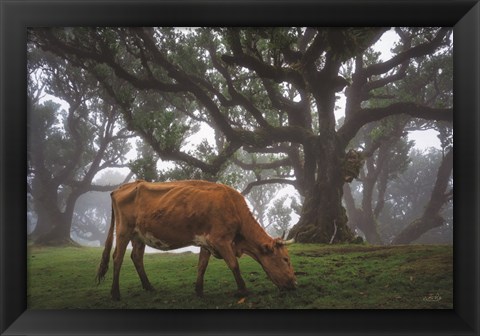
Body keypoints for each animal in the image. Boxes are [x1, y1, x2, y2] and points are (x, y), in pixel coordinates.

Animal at [95, 180, 294, 300]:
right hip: (123, 231)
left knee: (136, 257)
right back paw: (115, 293)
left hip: (139, 235)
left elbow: (202, 265)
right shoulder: (221, 240)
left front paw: (199, 290)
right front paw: (243, 290)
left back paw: (149, 287)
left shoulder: (207, 242)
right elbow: (234, 264)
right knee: (117, 258)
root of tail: (123, 187)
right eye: (285, 259)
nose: (294, 283)